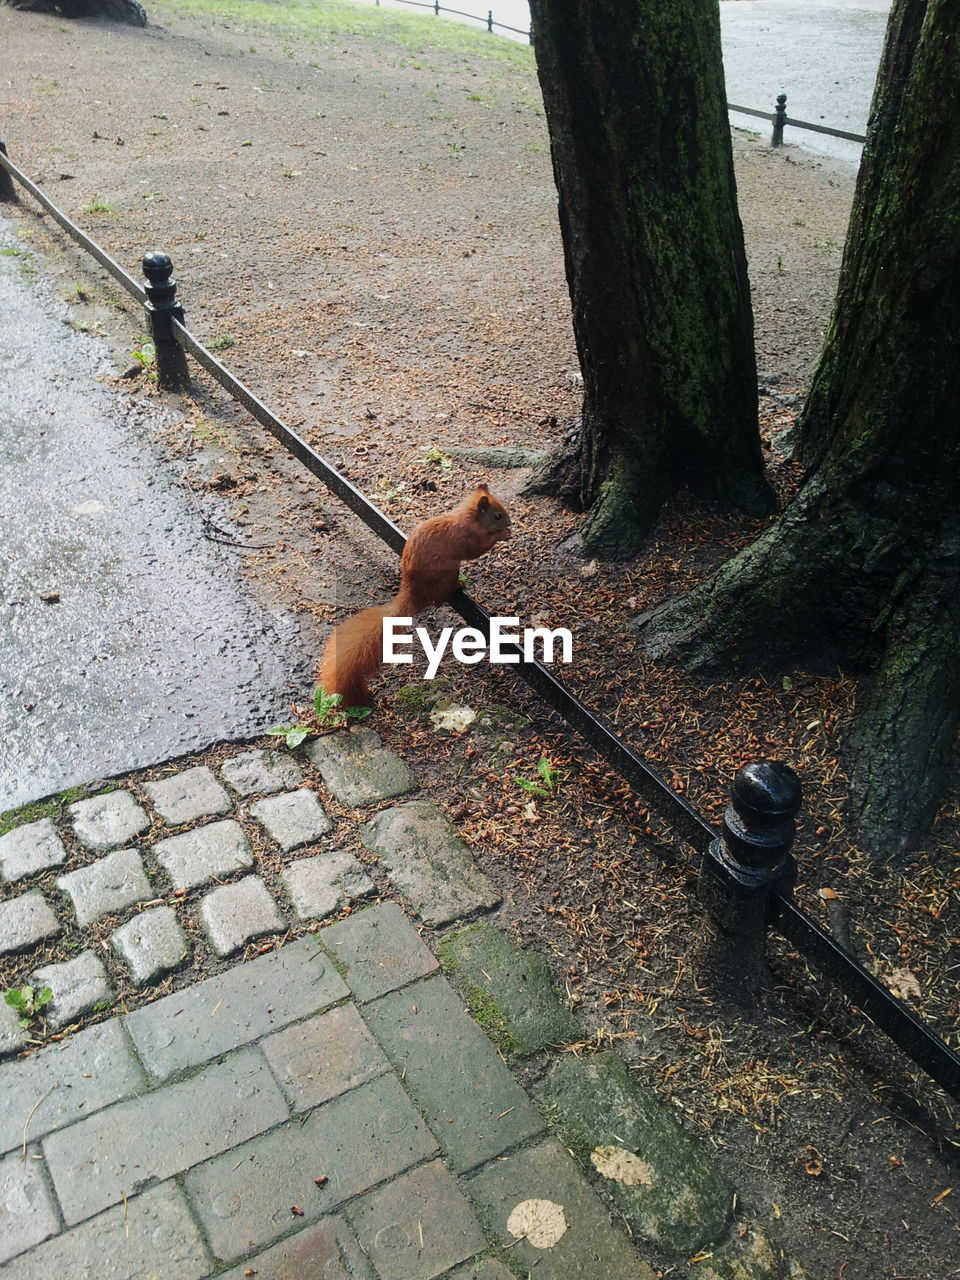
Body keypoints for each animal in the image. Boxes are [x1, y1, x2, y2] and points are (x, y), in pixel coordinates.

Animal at [317, 481, 514, 711]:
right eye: (497, 516)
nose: (510, 522)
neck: (467, 519)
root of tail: (414, 593)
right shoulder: (467, 537)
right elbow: (476, 550)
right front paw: (503, 535)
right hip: (448, 571)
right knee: (440, 596)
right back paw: (458, 587)